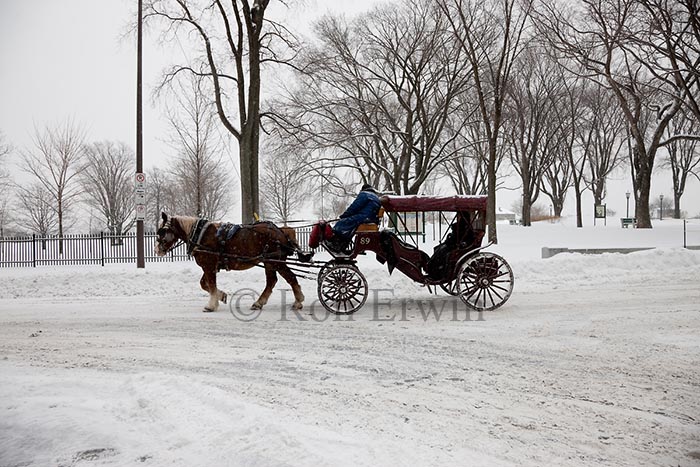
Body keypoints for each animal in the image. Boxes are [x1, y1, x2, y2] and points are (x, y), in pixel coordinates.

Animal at [156, 214, 304, 312]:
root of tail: (281, 232)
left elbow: (211, 285)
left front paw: (211, 305)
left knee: (290, 277)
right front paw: (221, 296)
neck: (200, 234)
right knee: (272, 281)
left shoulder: (209, 265)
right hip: (269, 262)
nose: (157, 250)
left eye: (163, 231)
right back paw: (259, 303)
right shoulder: (210, 266)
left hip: (276, 261)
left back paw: (298, 301)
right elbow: (204, 284)